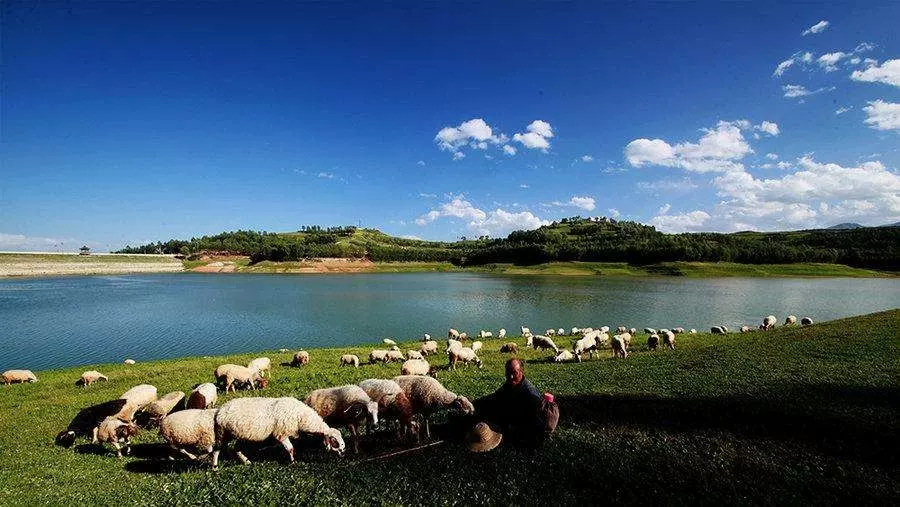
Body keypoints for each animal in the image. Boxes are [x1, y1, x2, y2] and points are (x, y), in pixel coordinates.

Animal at [213, 398, 346, 470]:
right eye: (335, 441)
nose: (344, 453)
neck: (301, 417)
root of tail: (220, 410)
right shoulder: (281, 433)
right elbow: (290, 448)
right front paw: (293, 462)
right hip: (222, 433)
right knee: (216, 450)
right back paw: (215, 467)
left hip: (239, 435)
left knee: (236, 449)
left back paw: (246, 461)